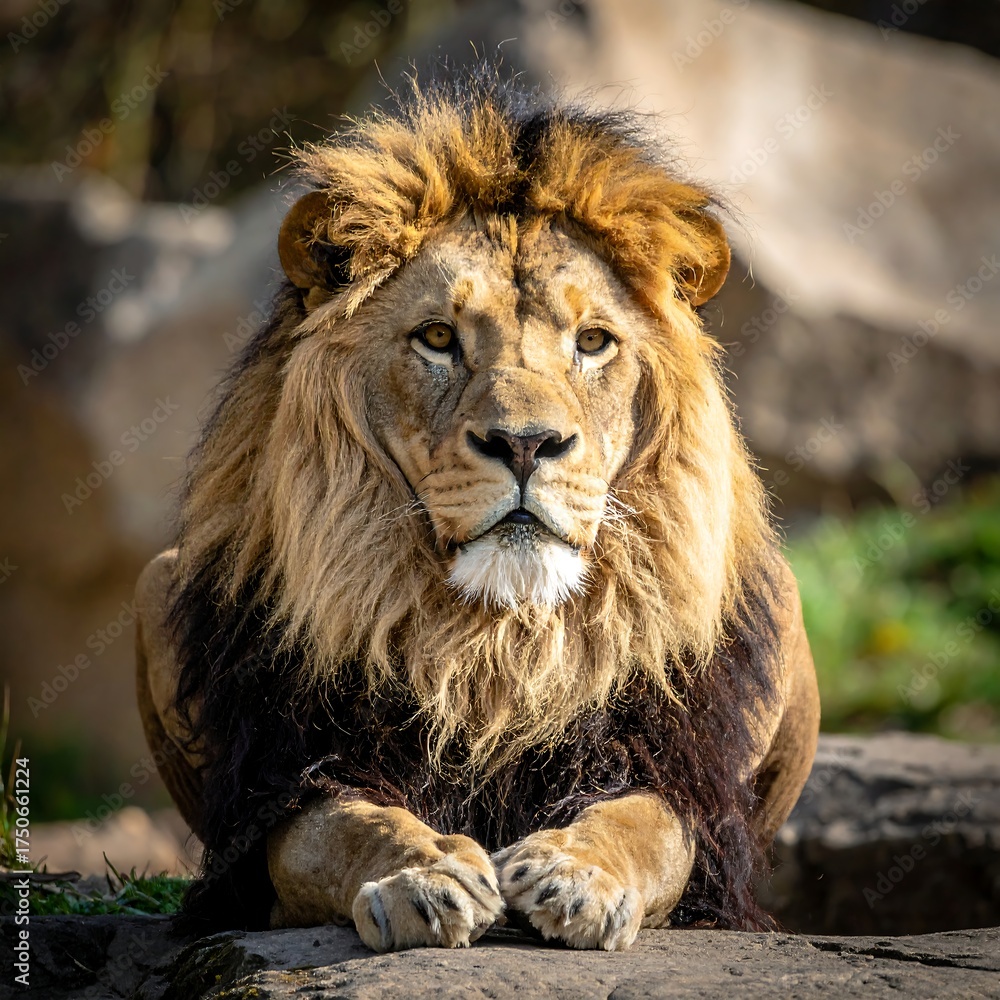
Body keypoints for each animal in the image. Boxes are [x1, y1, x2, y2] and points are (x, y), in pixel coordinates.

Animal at [134, 69, 819, 952]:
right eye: (437, 338)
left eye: (592, 342)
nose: (526, 444)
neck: (500, 645)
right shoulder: (280, 786)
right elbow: (341, 825)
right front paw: (424, 873)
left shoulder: (677, 774)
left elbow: (647, 825)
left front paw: (576, 873)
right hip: (155, 581)